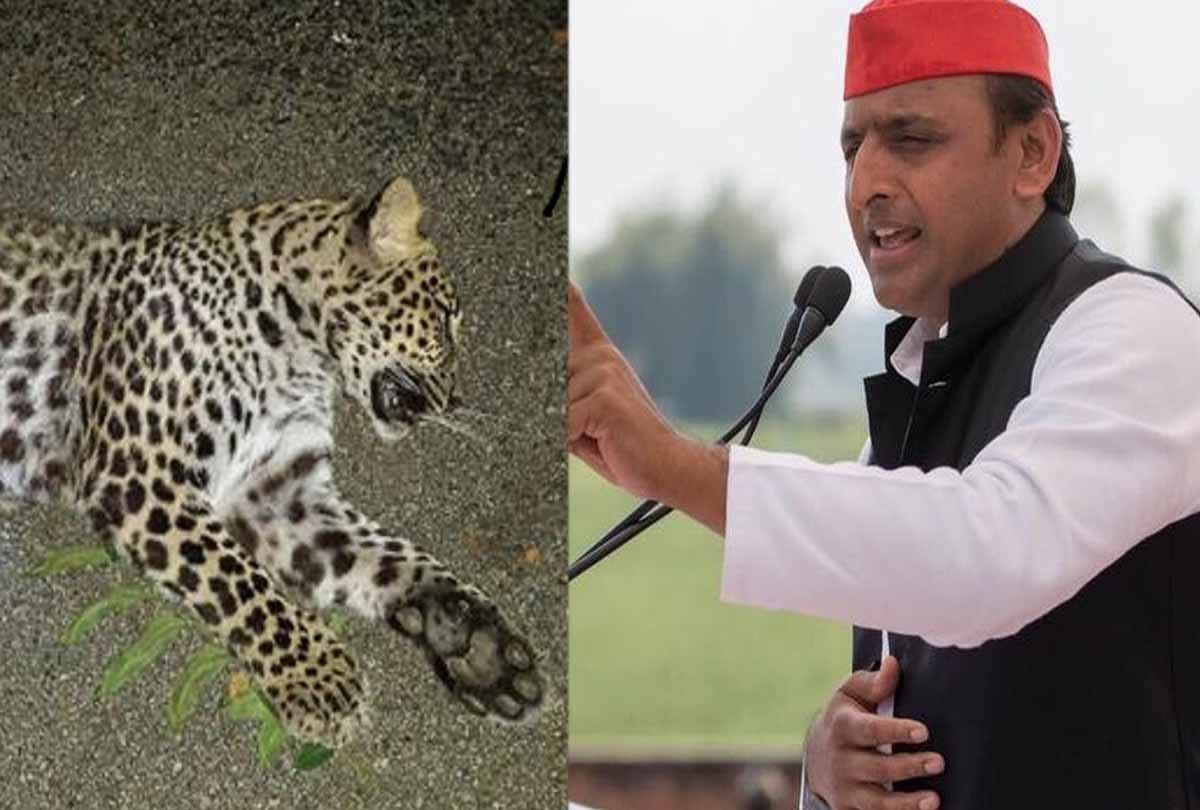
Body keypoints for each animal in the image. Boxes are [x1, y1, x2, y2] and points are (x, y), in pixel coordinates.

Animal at [0, 175, 543, 745]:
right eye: (441, 324)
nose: (453, 401)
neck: (302, 346)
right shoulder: (142, 471)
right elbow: (237, 578)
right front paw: (322, 678)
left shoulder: (279, 489)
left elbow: (392, 556)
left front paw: (478, 647)